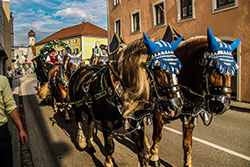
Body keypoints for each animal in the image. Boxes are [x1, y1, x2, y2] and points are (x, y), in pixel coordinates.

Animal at [68, 33, 184, 166]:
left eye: (178, 68)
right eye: (158, 67)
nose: (177, 105)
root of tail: (79, 69)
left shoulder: (137, 124)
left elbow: (142, 152)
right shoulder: (106, 124)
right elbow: (110, 147)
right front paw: (108, 162)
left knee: (90, 122)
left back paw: (90, 144)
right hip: (76, 105)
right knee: (79, 120)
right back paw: (82, 141)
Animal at [151, 27, 241, 167]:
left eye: (233, 69)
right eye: (214, 65)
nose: (223, 105)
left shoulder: (189, 116)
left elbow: (187, 143)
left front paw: (188, 163)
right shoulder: (157, 111)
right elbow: (157, 134)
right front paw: (154, 156)